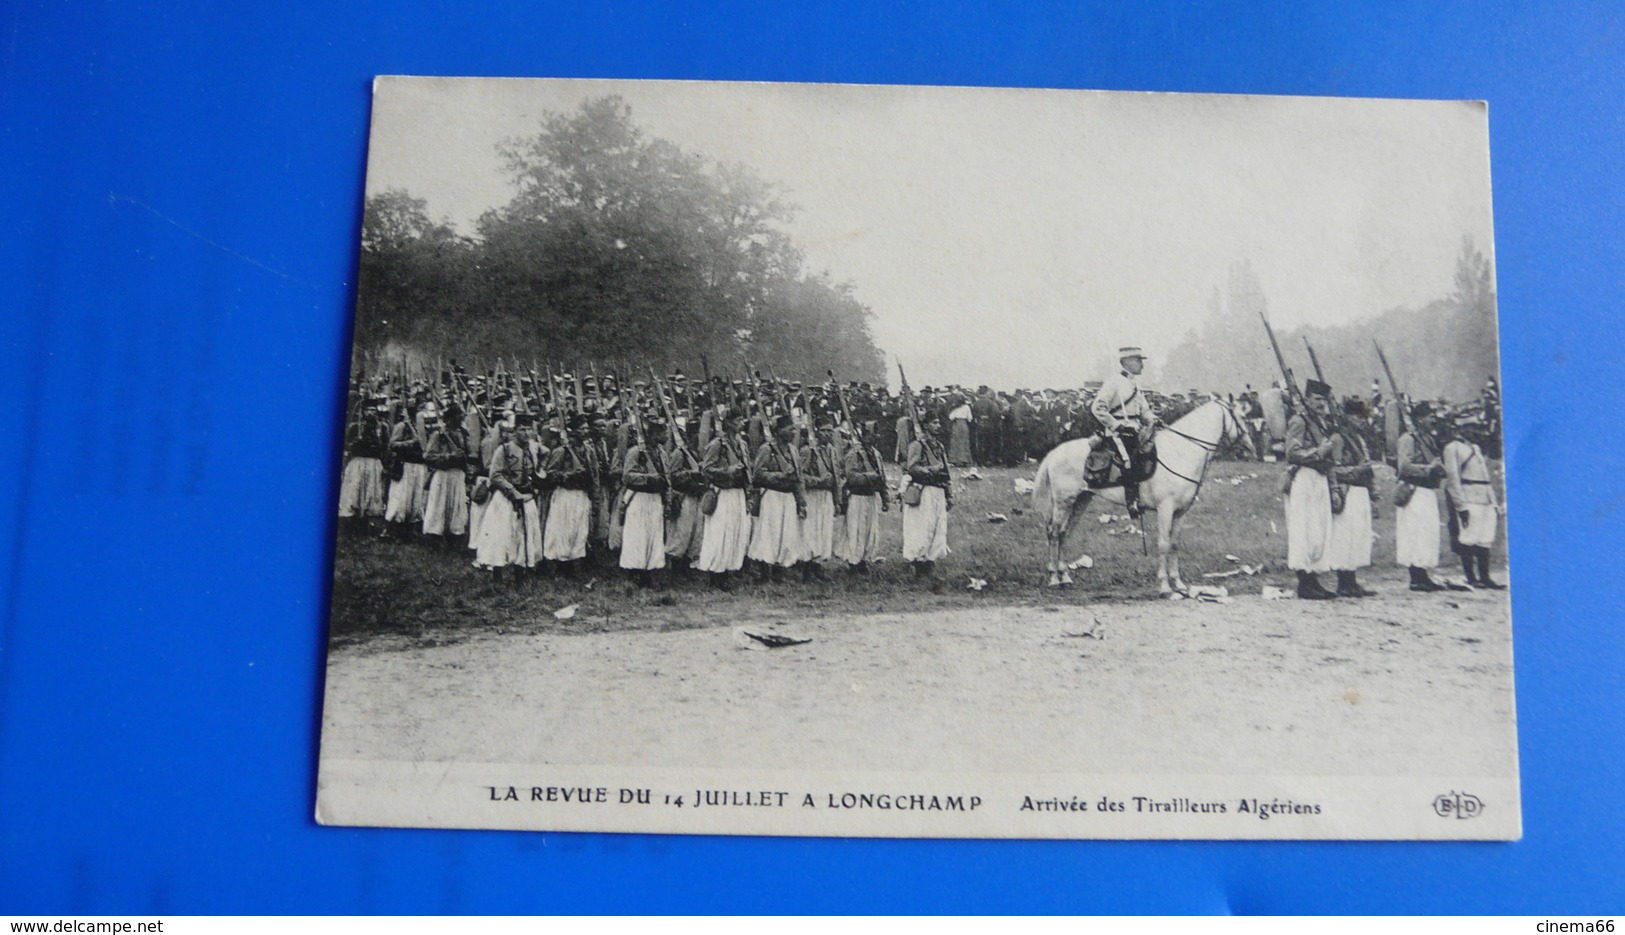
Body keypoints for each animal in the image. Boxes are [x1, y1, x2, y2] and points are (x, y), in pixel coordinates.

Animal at [1033, 400, 1248, 591]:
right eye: (1243, 416)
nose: (1249, 446)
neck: (1180, 452)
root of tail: (1054, 453)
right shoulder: (1165, 508)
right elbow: (1163, 544)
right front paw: (1165, 586)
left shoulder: (1181, 512)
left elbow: (1174, 544)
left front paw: (1178, 583)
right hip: (1064, 502)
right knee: (1054, 533)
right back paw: (1054, 578)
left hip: (1080, 501)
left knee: (1064, 532)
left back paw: (1065, 576)